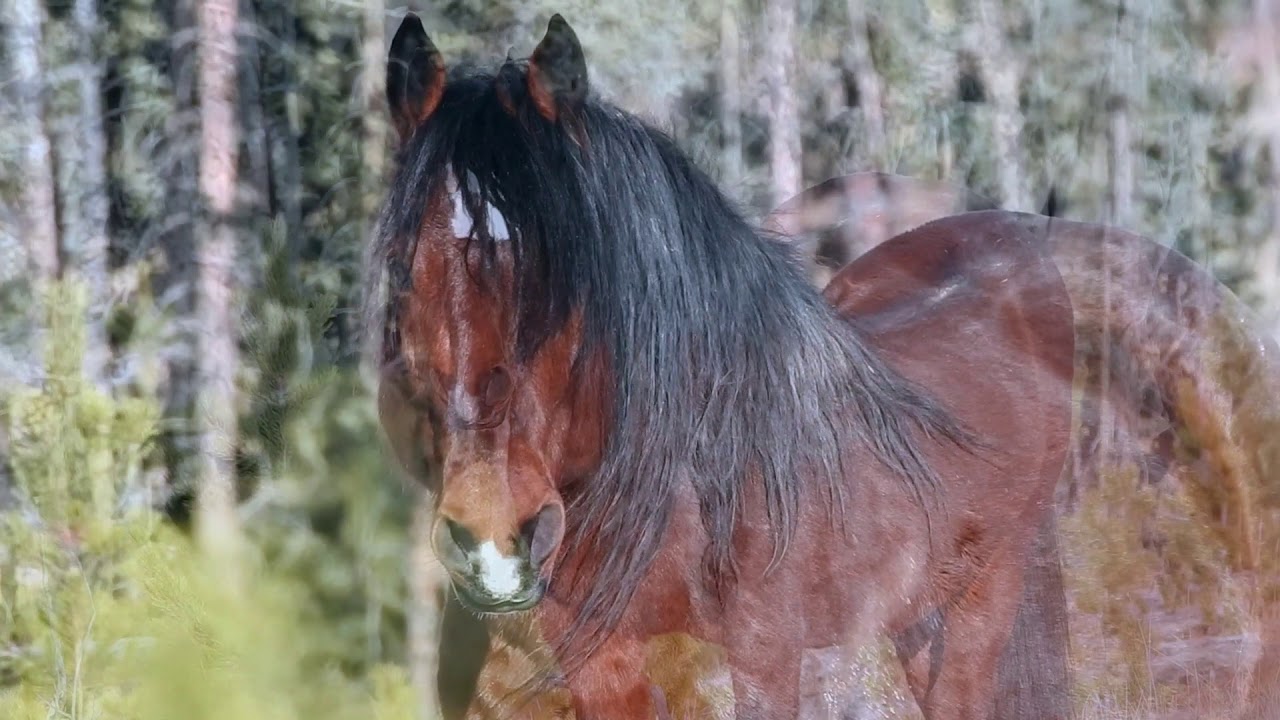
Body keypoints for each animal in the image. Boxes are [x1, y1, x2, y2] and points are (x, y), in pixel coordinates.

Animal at [369, 13, 1081, 719]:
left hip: (985, 598)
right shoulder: (600, 660)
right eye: (403, 269)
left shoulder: (766, 653)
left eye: (565, 269)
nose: (492, 542)